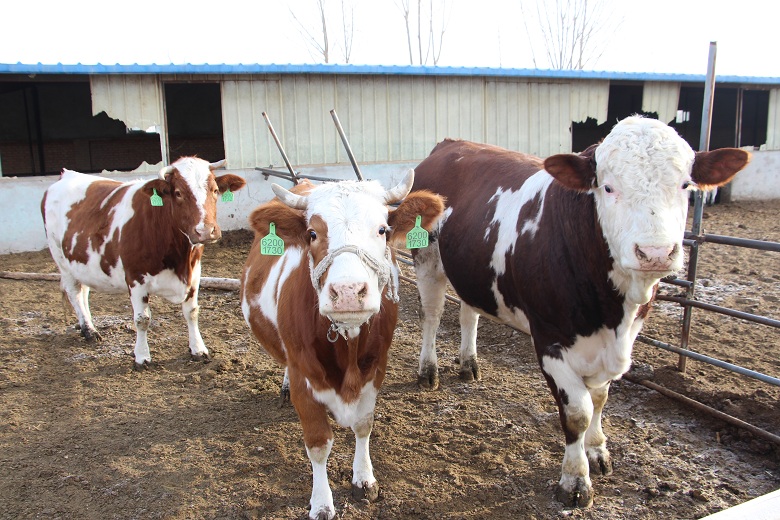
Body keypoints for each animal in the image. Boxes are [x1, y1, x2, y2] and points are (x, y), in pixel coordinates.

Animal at [42, 156, 244, 368]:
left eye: (215, 190)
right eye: (178, 193)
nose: (205, 231)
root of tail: (67, 174)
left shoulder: (195, 273)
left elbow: (192, 312)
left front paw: (198, 349)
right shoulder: (135, 278)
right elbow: (142, 319)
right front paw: (141, 357)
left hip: (83, 263)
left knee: (84, 292)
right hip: (62, 261)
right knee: (74, 293)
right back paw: (88, 330)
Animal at [238, 173, 444, 516]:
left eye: (382, 230)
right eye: (312, 233)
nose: (348, 291)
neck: (347, 348)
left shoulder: (376, 368)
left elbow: (363, 425)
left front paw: (364, 479)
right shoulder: (304, 376)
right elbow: (319, 444)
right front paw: (322, 503)